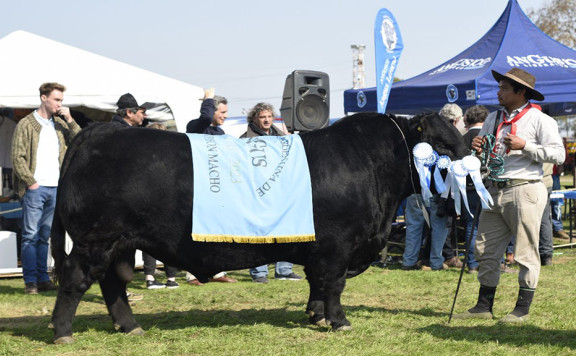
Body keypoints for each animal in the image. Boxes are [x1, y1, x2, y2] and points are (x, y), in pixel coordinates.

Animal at [46, 112, 468, 344]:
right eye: (442, 144)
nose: (470, 157)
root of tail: (101, 131)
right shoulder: (337, 246)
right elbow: (333, 286)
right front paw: (338, 321)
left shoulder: (319, 249)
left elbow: (316, 284)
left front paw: (316, 315)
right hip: (95, 241)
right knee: (77, 280)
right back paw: (63, 331)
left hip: (117, 243)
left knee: (112, 284)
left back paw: (130, 326)